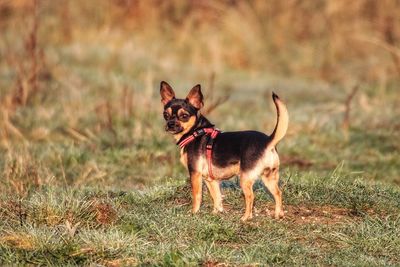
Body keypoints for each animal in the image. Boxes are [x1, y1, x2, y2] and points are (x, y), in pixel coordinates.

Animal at [159, 81, 288, 222]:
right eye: (165, 115)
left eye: (184, 116)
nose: (170, 124)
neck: (195, 132)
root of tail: (268, 141)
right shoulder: (211, 180)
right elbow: (217, 197)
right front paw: (216, 213)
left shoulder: (195, 173)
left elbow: (197, 196)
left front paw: (194, 213)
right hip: (269, 177)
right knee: (278, 193)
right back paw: (278, 214)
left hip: (245, 178)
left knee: (250, 197)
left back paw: (245, 217)